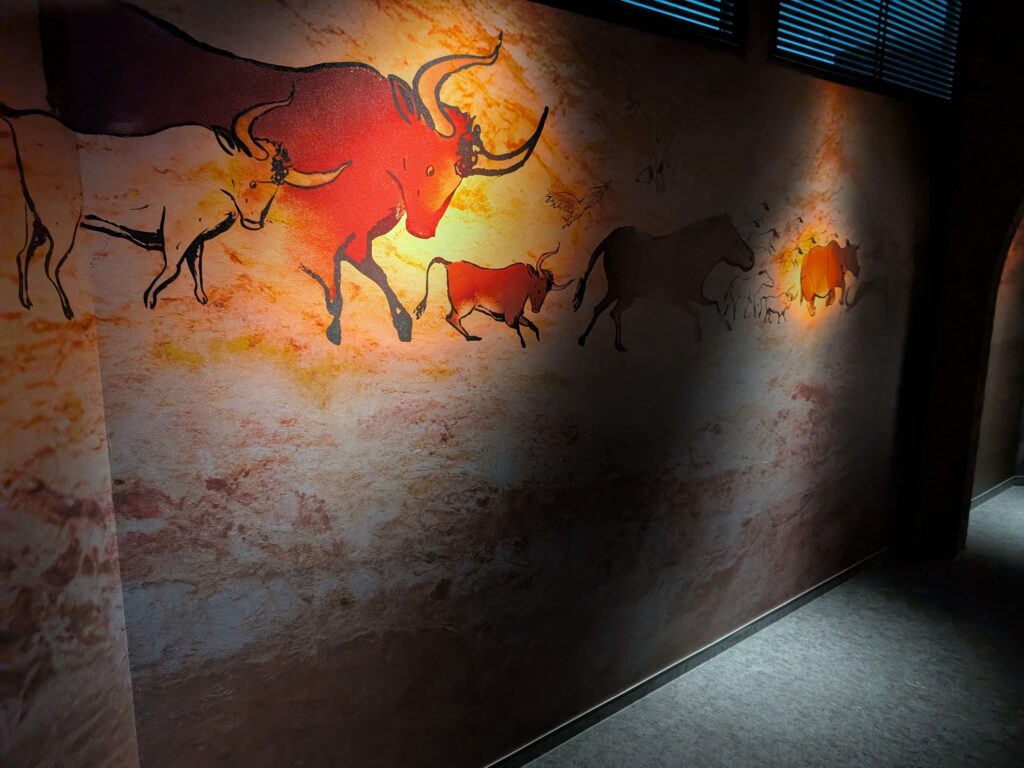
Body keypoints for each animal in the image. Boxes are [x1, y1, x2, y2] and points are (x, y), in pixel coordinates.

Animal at [2, 99, 347, 319]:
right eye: (251, 182)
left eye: (276, 187)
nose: (254, 222)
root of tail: (19, 119)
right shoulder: (176, 233)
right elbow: (173, 267)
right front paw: (149, 300)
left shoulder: (197, 240)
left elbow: (196, 267)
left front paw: (202, 298)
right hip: (60, 220)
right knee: (51, 265)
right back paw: (67, 310)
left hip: (33, 218)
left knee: (22, 255)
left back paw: (27, 301)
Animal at [38, 5, 549, 345]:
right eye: (427, 164)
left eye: (460, 180)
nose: (424, 230)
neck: (371, 155)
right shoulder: (317, 240)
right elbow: (337, 291)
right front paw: (338, 331)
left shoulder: (355, 241)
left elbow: (377, 276)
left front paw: (403, 323)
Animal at [413, 245, 572, 347]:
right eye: (538, 288)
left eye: (547, 291)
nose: (536, 310)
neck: (524, 281)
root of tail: (450, 264)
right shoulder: (511, 316)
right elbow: (519, 331)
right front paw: (523, 344)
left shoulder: (518, 315)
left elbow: (533, 327)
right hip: (464, 305)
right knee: (452, 318)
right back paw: (471, 337)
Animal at [573, 215, 755, 351]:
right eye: (735, 240)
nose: (751, 259)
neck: (694, 256)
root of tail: (610, 240)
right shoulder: (681, 299)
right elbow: (697, 315)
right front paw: (697, 338)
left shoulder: (695, 295)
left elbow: (715, 305)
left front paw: (726, 327)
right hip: (626, 293)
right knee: (614, 312)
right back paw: (618, 345)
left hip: (615, 290)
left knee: (599, 308)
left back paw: (583, 338)